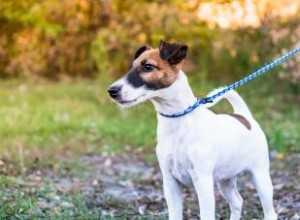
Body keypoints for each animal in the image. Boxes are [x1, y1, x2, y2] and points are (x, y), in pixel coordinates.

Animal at [107, 40, 276, 220]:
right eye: (130, 66)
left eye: (148, 67)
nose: (112, 91)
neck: (177, 121)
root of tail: (244, 116)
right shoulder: (170, 183)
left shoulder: (203, 181)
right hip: (226, 180)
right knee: (237, 202)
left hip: (260, 177)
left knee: (270, 212)